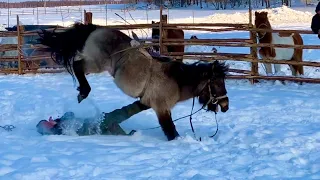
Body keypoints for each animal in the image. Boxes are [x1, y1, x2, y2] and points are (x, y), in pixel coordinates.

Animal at [36, 22, 229, 141]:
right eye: (218, 84)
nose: (226, 106)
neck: (177, 80)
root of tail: (97, 29)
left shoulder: (146, 102)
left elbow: (126, 111)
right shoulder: (162, 108)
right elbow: (170, 130)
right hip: (97, 63)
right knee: (78, 65)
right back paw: (83, 91)